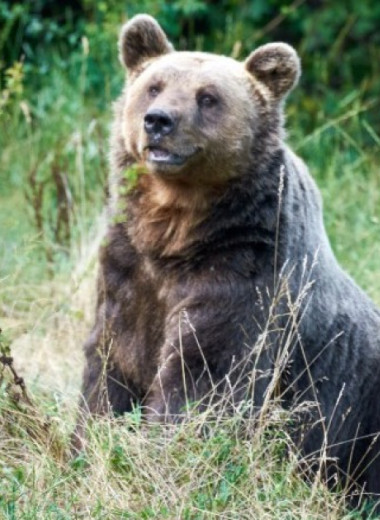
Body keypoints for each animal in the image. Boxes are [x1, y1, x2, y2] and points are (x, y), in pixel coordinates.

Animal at [74, 14, 380, 510]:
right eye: (154, 86)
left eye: (208, 97)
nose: (158, 121)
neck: (177, 232)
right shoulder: (128, 271)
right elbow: (111, 365)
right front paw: (91, 447)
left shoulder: (243, 270)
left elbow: (203, 376)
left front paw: (160, 466)